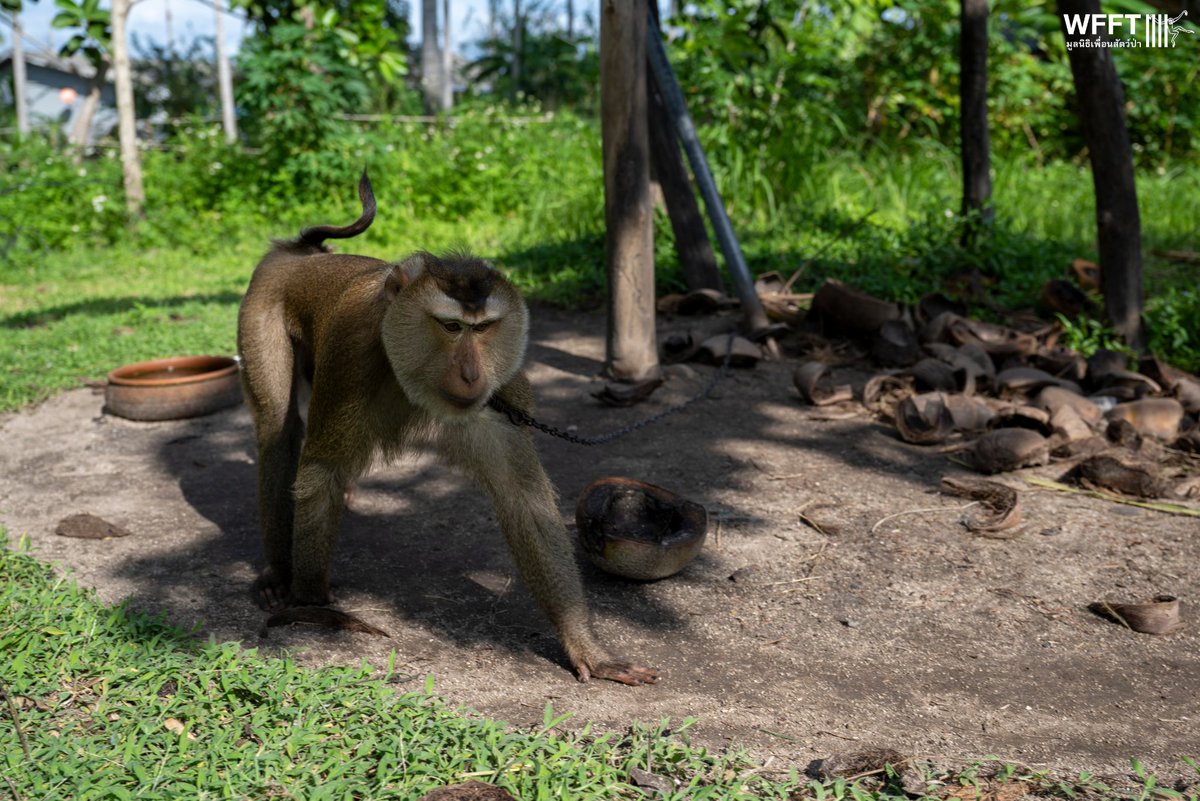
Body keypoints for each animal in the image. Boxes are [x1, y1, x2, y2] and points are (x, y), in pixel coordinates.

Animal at [236, 173, 659, 686]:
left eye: (484, 329)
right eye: (453, 327)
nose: (472, 374)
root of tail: (297, 254)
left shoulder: (502, 391)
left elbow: (523, 499)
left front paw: (588, 647)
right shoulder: (353, 353)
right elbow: (320, 473)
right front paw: (314, 605)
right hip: (259, 312)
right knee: (276, 432)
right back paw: (278, 575)